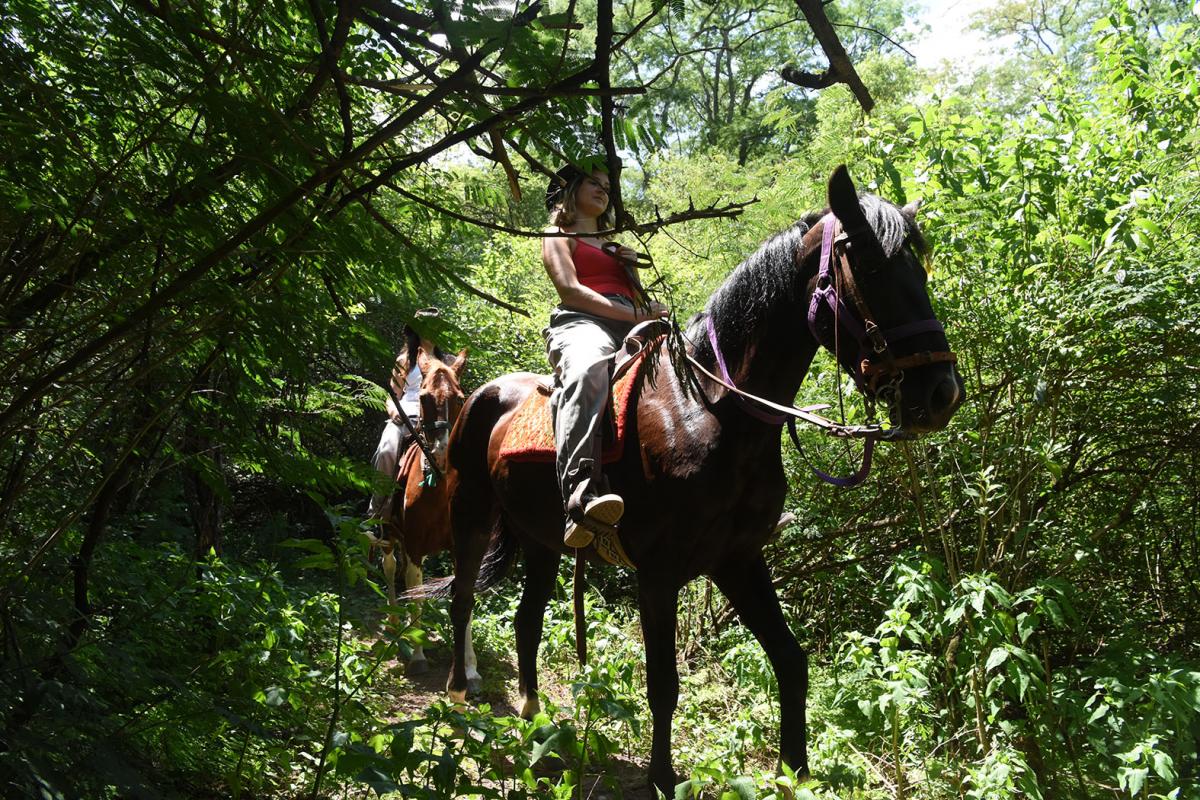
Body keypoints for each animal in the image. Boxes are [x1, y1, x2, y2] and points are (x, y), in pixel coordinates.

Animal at [436, 165, 960, 791]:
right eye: (875, 271)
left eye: (920, 270)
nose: (942, 394)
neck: (711, 411)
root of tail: (482, 395)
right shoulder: (659, 573)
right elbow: (663, 685)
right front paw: (664, 779)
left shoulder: (738, 559)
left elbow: (791, 662)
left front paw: (795, 772)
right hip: (468, 511)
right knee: (463, 597)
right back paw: (459, 695)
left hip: (539, 539)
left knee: (526, 621)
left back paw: (534, 719)